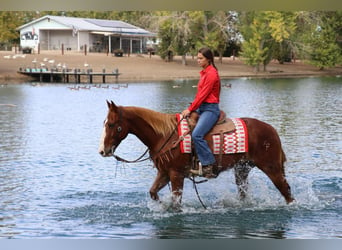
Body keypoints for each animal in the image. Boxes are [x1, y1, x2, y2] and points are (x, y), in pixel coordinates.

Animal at [99, 100, 294, 208]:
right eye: (105, 123)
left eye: (111, 124)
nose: (103, 150)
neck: (164, 135)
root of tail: (272, 130)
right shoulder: (164, 173)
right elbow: (153, 192)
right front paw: (161, 206)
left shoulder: (176, 174)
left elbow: (176, 202)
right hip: (242, 169)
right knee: (243, 192)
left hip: (271, 167)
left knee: (285, 190)